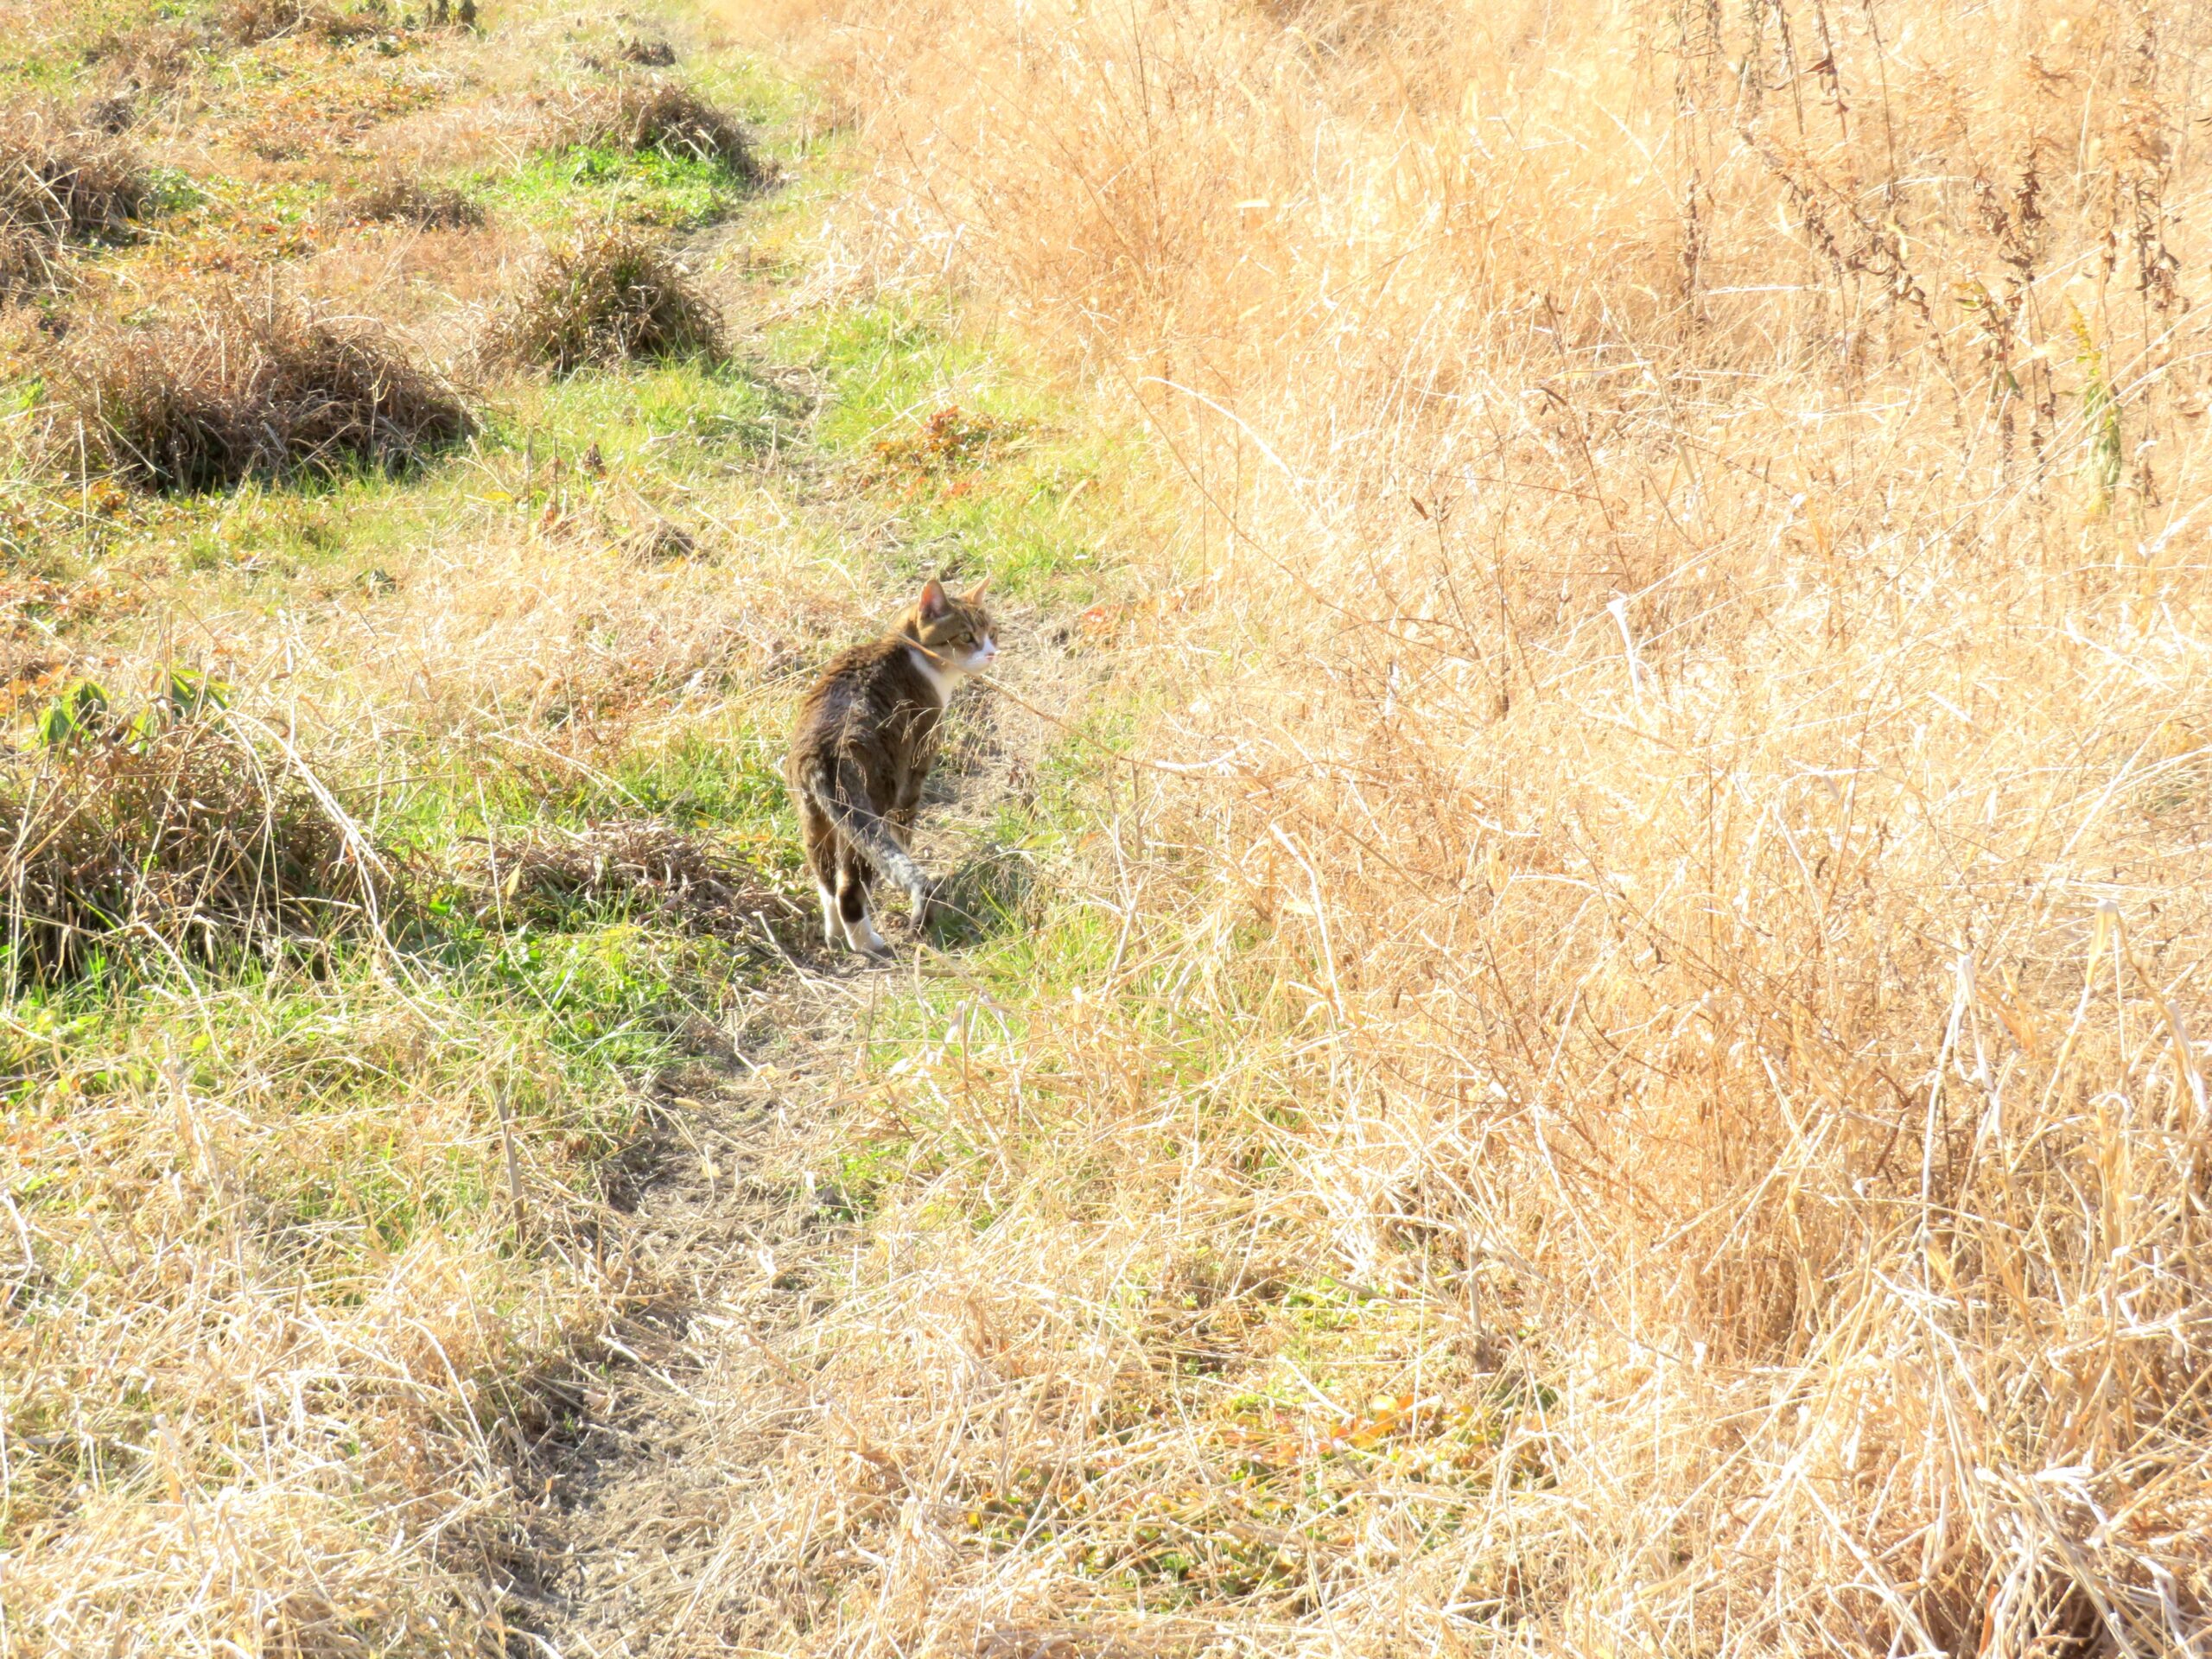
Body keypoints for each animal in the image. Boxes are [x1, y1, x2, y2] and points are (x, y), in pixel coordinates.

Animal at [783, 579, 1000, 955]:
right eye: (966, 636)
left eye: (991, 633)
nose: (990, 653)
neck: (905, 647)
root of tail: (825, 750)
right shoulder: (917, 765)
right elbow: (904, 834)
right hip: (872, 803)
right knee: (849, 888)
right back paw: (867, 942)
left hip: (814, 817)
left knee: (826, 881)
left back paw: (834, 936)